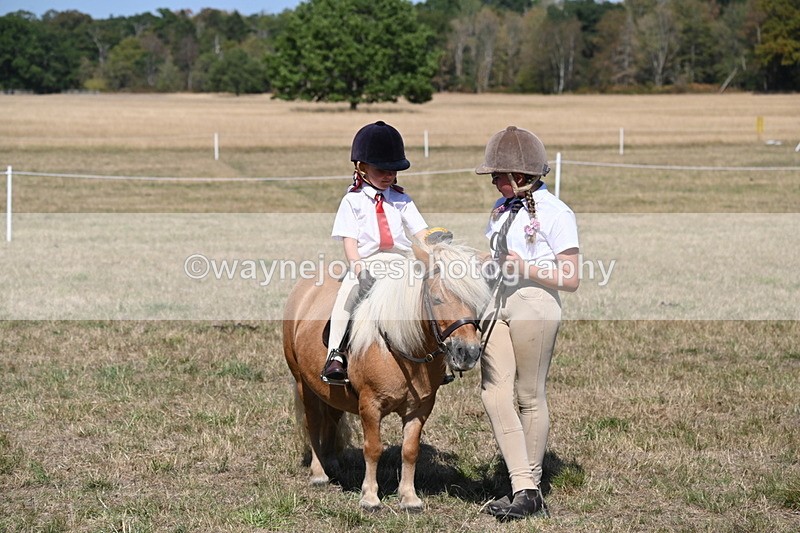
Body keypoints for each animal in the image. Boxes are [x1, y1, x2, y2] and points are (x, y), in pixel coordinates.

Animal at [282, 242, 492, 511]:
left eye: (476, 303)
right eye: (436, 299)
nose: (468, 353)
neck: (402, 349)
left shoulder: (420, 408)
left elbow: (410, 450)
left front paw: (409, 498)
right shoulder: (370, 405)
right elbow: (373, 449)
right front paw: (370, 497)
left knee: (332, 417)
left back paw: (332, 462)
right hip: (303, 383)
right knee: (314, 422)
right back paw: (319, 473)